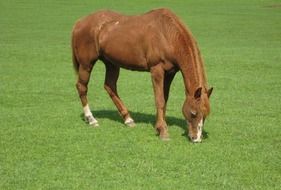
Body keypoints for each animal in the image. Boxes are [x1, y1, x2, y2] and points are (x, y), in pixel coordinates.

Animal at [71, 8, 212, 142]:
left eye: (205, 114)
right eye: (193, 113)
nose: (196, 138)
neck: (166, 34)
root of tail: (80, 22)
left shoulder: (170, 73)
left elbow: (165, 99)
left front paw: (160, 126)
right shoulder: (156, 70)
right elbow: (159, 100)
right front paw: (163, 131)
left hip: (111, 63)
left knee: (110, 86)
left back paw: (128, 119)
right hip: (86, 64)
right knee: (82, 87)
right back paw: (91, 119)